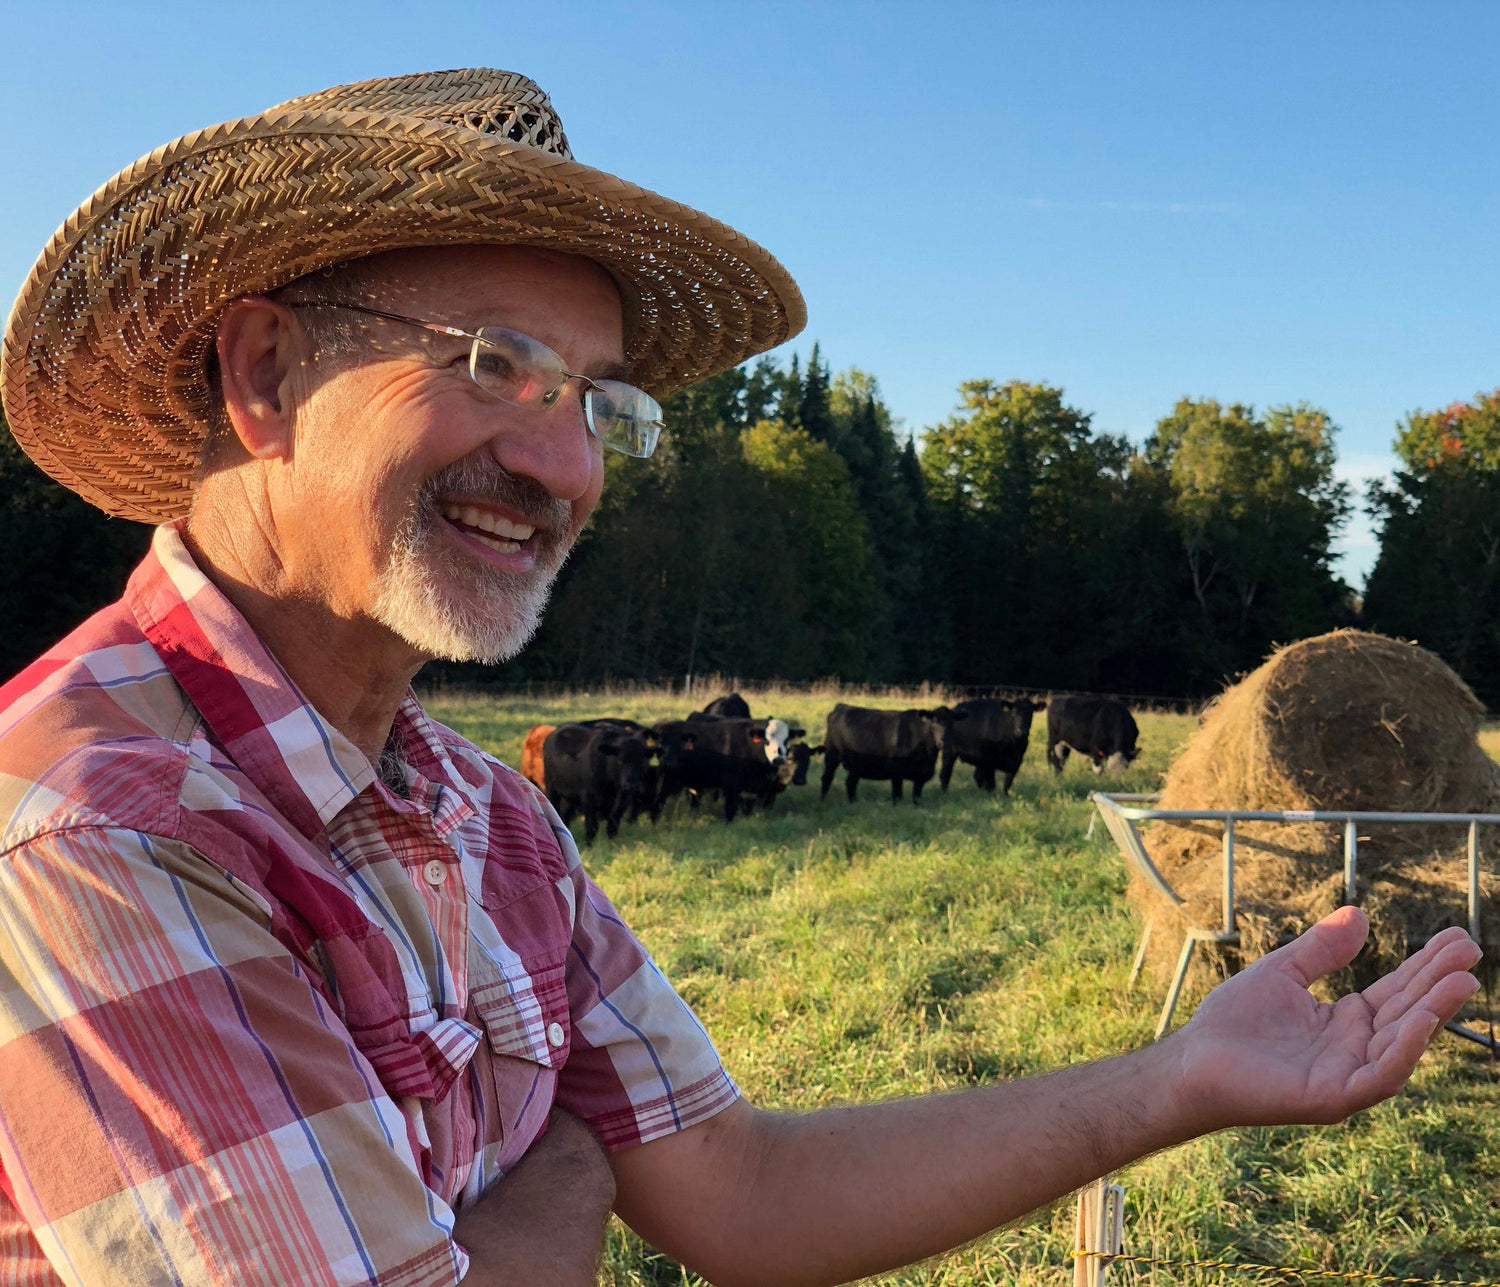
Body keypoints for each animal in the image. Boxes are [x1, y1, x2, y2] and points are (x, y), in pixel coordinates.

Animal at [822, 702, 960, 804]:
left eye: (952, 723)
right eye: (934, 723)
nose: (943, 742)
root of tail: (841, 706)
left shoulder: (921, 775)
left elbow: (916, 798)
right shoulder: (896, 772)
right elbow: (897, 795)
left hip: (856, 764)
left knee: (851, 782)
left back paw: (853, 803)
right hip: (831, 754)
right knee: (827, 777)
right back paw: (822, 800)